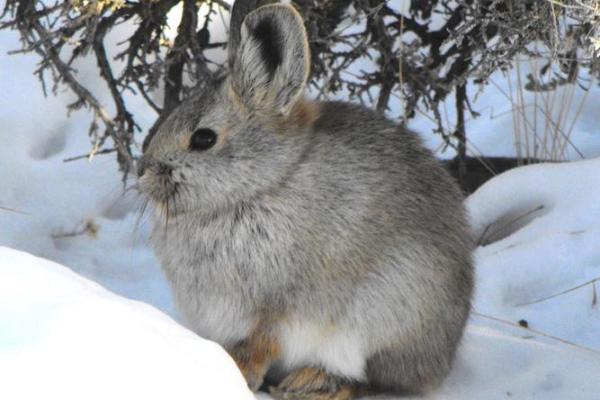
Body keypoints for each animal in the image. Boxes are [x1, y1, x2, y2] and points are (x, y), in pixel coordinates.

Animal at [136, 1, 474, 398]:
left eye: (203, 139)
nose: (143, 173)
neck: (263, 185)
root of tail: (444, 356)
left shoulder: (278, 309)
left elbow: (262, 342)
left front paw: (237, 372)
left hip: (383, 314)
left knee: (370, 379)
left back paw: (312, 382)